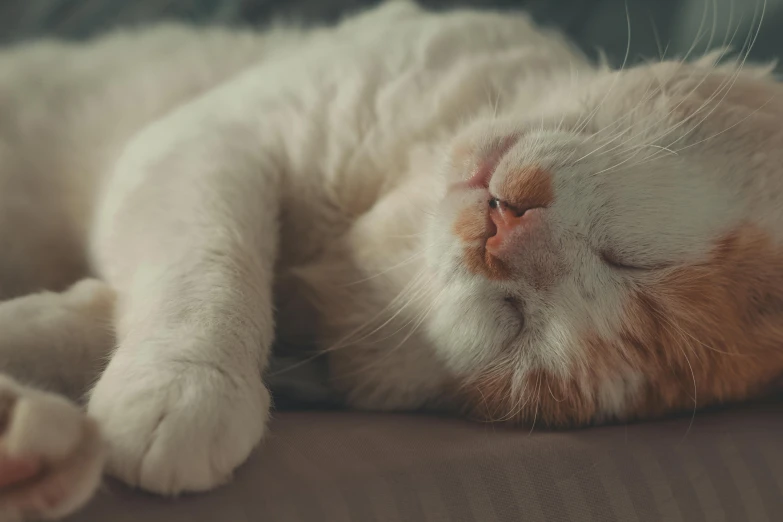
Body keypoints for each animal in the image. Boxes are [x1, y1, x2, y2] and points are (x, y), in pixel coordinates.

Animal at [1, 1, 783, 516]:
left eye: (514, 319)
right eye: (633, 260)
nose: (499, 234)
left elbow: (83, 321)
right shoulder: (210, 139)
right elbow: (214, 263)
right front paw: (187, 381)